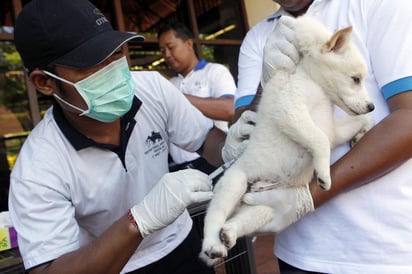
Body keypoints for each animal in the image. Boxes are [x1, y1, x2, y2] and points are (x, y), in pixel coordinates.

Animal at [201, 15, 374, 266]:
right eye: (356, 79)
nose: (372, 106)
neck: (315, 85)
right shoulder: (290, 110)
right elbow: (319, 141)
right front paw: (323, 174)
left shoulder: (332, 130)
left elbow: (355, 124)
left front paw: (363, 130)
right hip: (234, 184)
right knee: (214, 217)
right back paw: (213, 244)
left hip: (263, 206)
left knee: (238, 220)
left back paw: (229, 232)